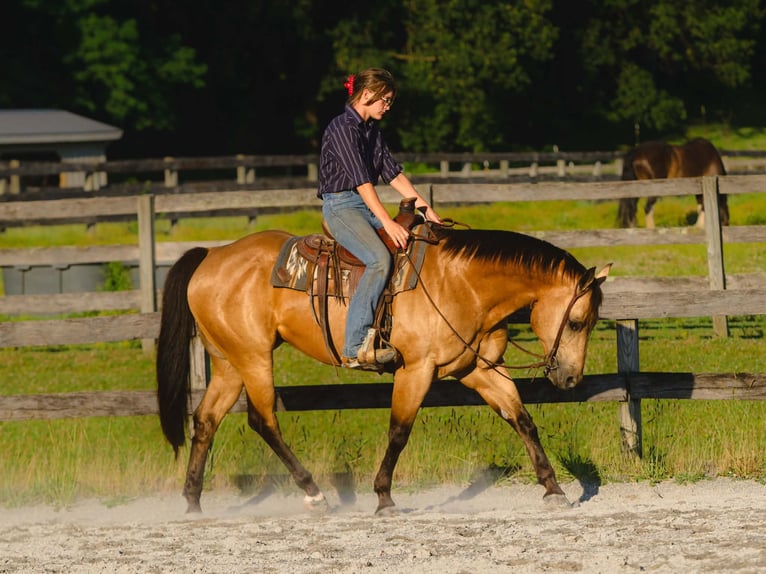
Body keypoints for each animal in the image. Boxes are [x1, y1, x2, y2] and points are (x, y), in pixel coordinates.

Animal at [156, 222, 610, 515]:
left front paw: (553, 488)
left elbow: (522, 419)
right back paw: (314, 493)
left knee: (206, 419)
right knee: (262, 420)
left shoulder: (479, 369)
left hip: (229, 362)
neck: (461, 283)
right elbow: (399, 431)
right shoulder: (416, 370)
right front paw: (384, 497)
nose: (570, 378)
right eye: (576, 321)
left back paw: (193, 501)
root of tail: (212, 255)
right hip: (253, 358)